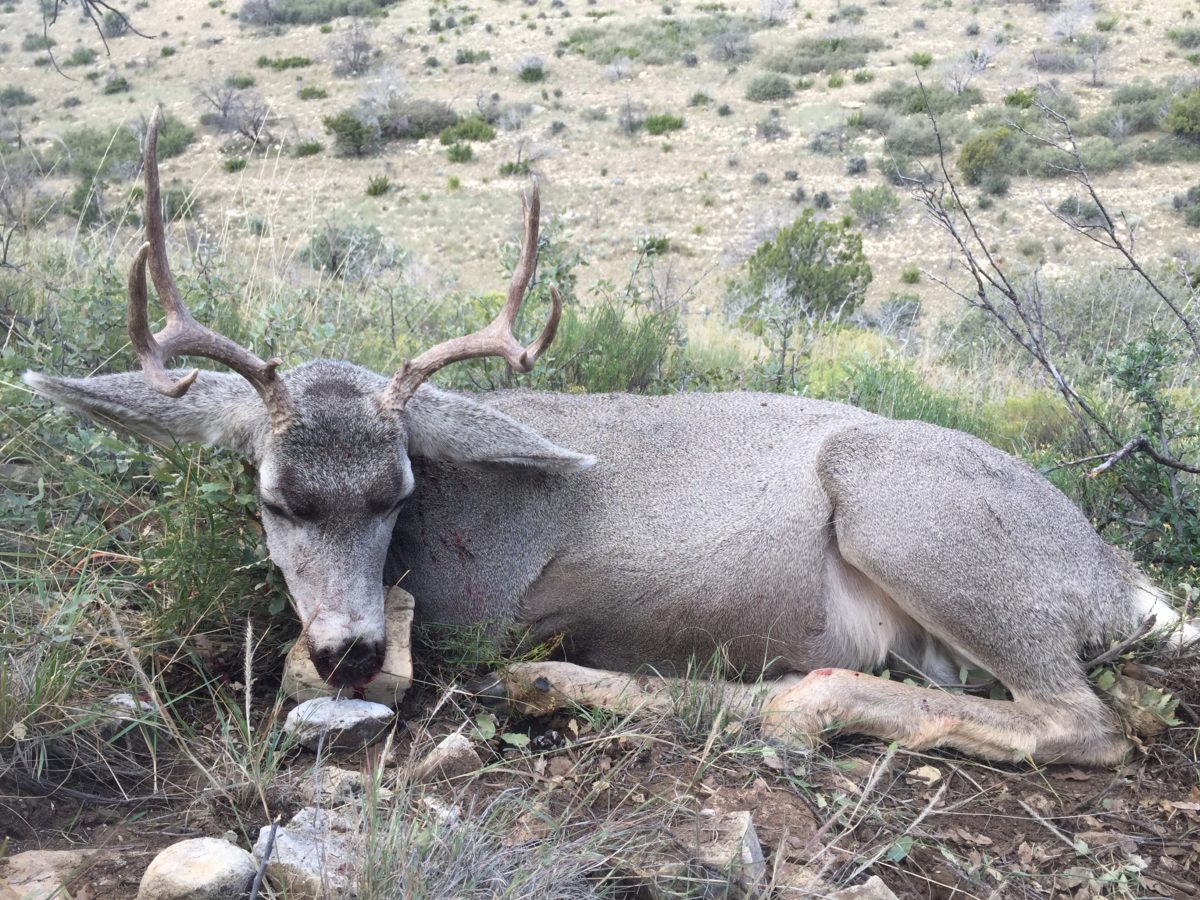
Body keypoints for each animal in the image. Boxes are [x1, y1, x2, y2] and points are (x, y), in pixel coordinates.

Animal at [23, 109, 1195, 763]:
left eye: (397, 492)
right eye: (275, 496)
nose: (348, 648)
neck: (454, 519)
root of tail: (1122, 581)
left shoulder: (503, 602)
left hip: (905, 511)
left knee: (1080, 721)